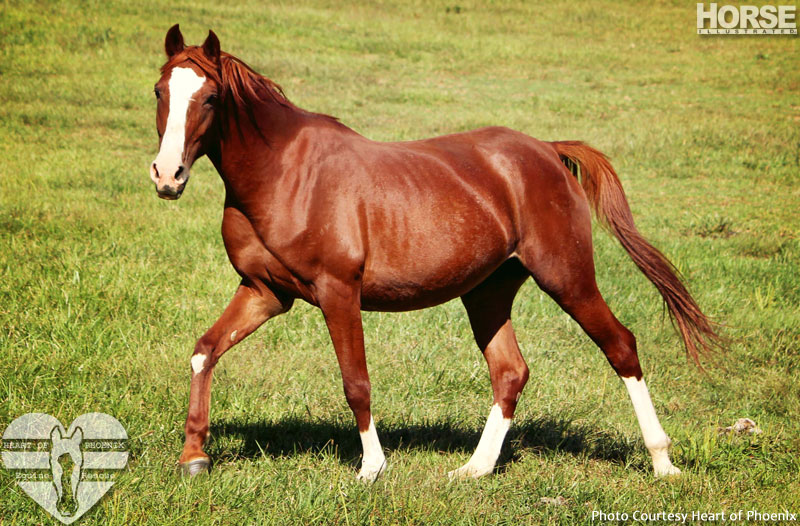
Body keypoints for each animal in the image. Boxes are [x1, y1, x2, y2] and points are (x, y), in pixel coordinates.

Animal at [152, 26, 720, 484]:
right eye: (160, 90)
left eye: (210, 96)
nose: (167, 176)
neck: (286, 174)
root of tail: (547, 151)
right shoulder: (265, 292)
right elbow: (204, 351)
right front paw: (194, 456)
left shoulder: (338, 292)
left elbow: (356, 383)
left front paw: (372, 469)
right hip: (489, 292)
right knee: (510, 371)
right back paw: (474, 469)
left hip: (568, 278)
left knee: (621, 348)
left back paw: (663, 462)